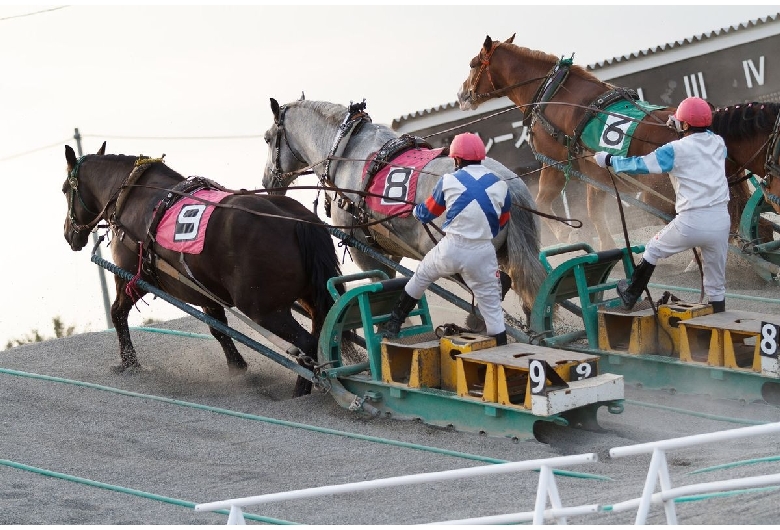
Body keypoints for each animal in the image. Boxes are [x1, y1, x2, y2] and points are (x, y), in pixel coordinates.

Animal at [61, 142, 342, 394]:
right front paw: (237, 367)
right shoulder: (204, 290)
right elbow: (218, 329)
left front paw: (129, 362)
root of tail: (298, 221)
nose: (68, 233)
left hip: (264, 310)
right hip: (310, 299)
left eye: (64, 189)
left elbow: (117, 313)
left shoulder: (133, 279)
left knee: (308, 344)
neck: (134, 197)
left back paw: (305, 387)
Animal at [258, 97, 544, 318]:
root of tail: (510, 189)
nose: (267, 182)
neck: (346, 152)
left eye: (267, 139)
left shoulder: (367, 254)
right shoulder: (388, 250)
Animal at [458, 34, 756, 251]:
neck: (554, 95)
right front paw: (606, 243)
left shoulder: (553, 164)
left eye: (473, 64)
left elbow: (543, 202)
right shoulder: (595, 172)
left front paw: (566, 233)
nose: (461, 95)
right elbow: (594, 210)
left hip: (659, 196)